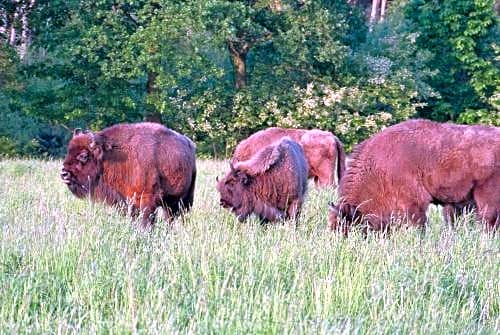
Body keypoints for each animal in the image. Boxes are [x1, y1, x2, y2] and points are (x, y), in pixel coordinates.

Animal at [61, 123, 197, 231]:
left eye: (83, 155)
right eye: (68, 152)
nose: (64, 173)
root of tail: (189, 144)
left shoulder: (147, 200)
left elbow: (146, 220)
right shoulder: (126, 201)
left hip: (185, 199)